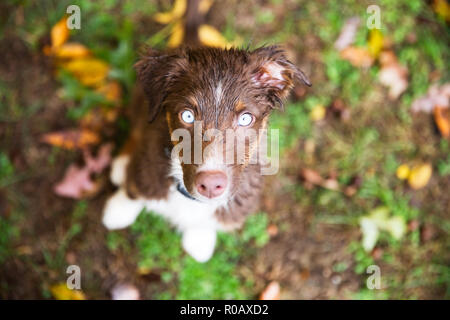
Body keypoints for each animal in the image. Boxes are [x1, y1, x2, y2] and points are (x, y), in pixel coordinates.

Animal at [102, 45, 310, 262]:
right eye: (187, 115)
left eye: (245, 119)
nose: (210, 184)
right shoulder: (148, 167)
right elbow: (135, 188)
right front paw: (118, 211)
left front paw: (199, 240)